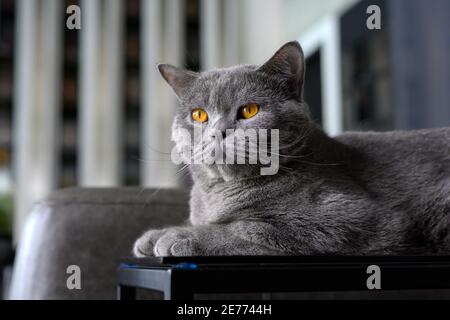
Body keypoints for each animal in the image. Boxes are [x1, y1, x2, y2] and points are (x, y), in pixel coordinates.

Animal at [133, 41, 450, 256]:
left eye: (249, 110)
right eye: (198, 115)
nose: (218, 132)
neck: (220, 194)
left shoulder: (350, 217)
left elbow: (247, 227)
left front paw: (179, 236)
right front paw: (154, 236)